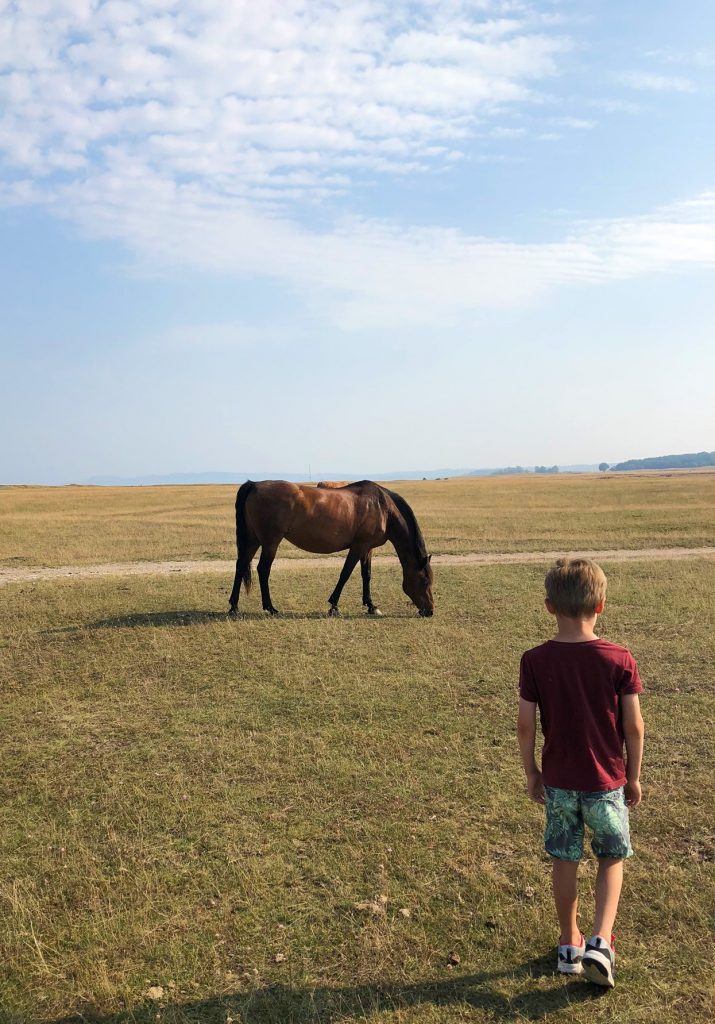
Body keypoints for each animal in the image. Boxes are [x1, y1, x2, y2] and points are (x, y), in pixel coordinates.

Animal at [227, 479, 434, 614]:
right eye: (425, 581)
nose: (430, 611)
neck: (383, 507)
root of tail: (254, 484)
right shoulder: (359, 546)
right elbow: (345, 574)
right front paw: (334, 605)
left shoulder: (367, 548)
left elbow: (366, 575)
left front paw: (371, 605)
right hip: (270, 542)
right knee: (263, 569)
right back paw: (270, 607)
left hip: (253, 540)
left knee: (241, 565)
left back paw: (234, 606)